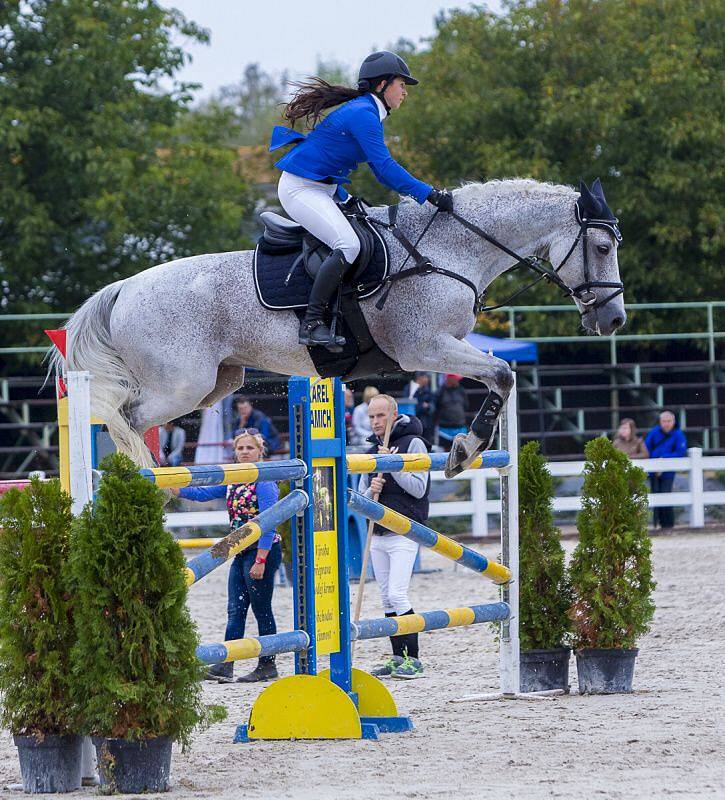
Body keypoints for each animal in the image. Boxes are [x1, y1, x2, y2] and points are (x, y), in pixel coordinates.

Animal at [53, 179, 624, 478]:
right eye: (601, 247)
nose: (614, 319)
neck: (449, 249)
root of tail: (125, 287)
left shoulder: (450, 345)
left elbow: (499, 375)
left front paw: (467, 448)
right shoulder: (424, 348)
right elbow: (503, 373)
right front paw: (465, 451)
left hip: (217, 382)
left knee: (123, 418)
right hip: (181, 384)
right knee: (123, 416)